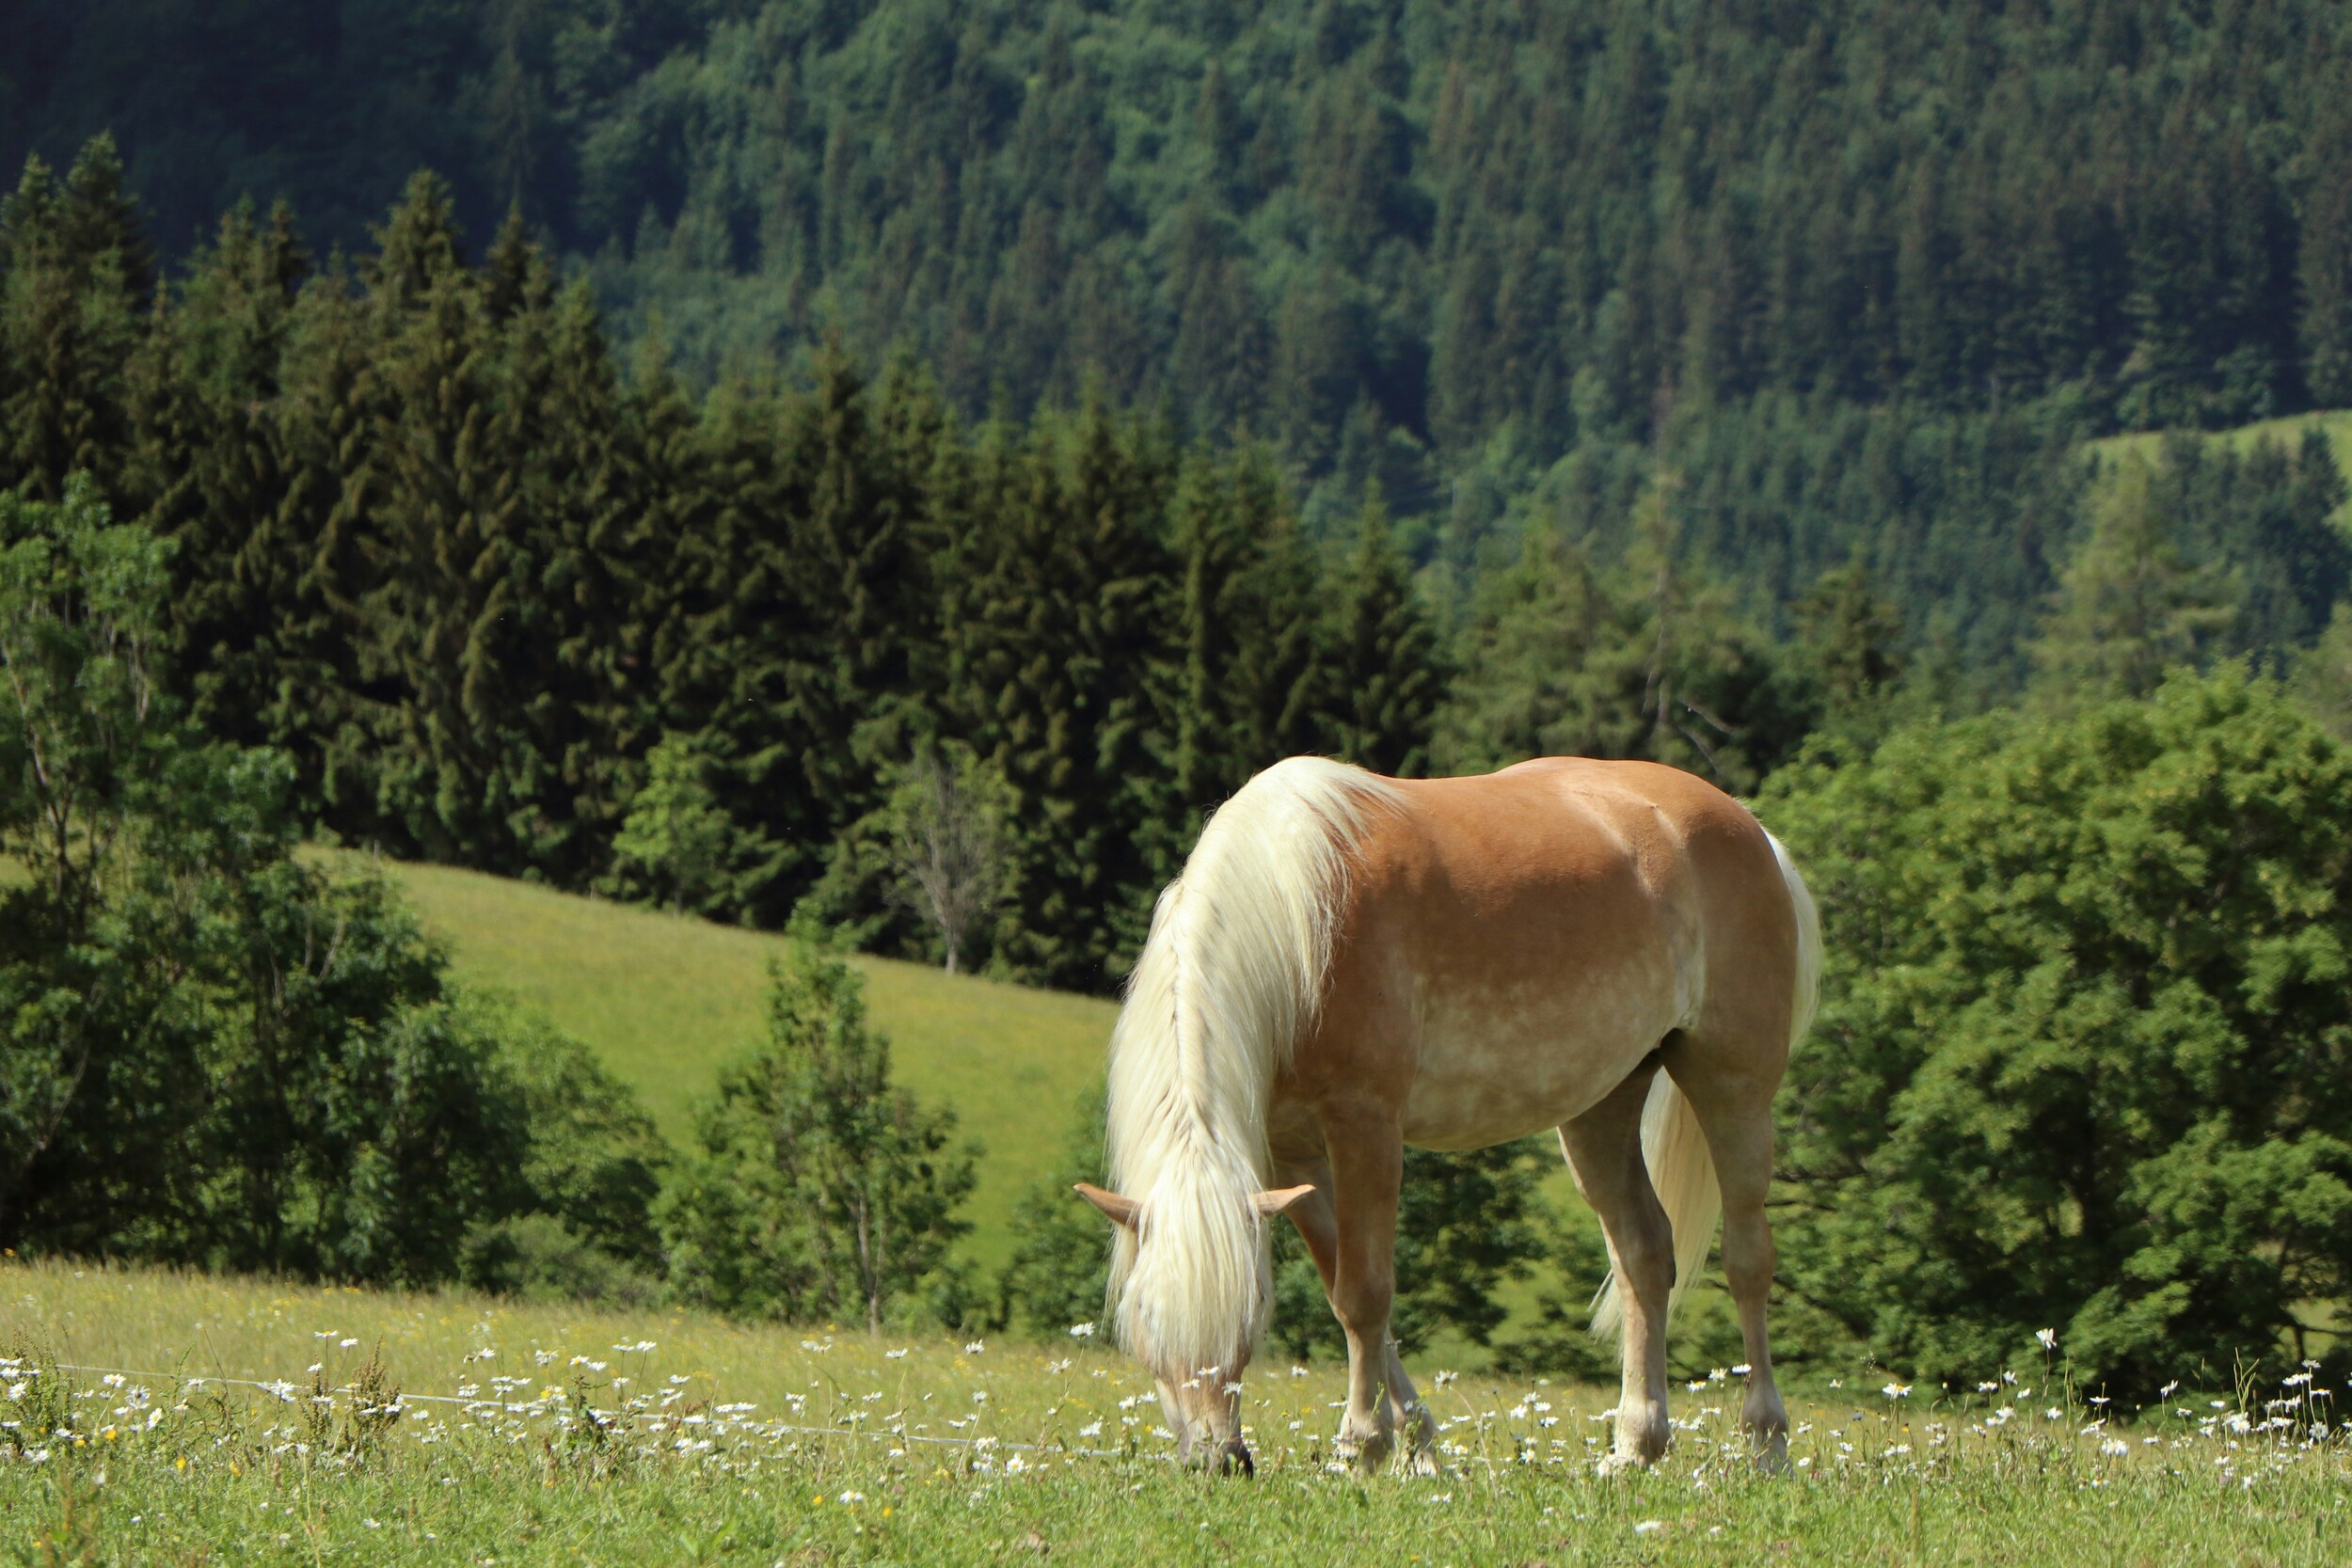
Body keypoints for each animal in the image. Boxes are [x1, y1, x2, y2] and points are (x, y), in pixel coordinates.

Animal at [1073, 754, 1820, 1476]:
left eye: (1251, 1315)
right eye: (1143, 1316)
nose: (1218, 1461)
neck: (1295, 920)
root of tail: (1752, 828)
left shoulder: (1367, 1127)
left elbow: (1365, 1294)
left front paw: (1363, 1447)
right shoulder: (1296, 1156)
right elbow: (1348, 1295)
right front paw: (1419, 1448)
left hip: (1733, 1089)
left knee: (1748, 1259)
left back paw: (1767, 1445)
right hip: (1600, 1108)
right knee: (1644, 1251)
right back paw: (1637, 1445)